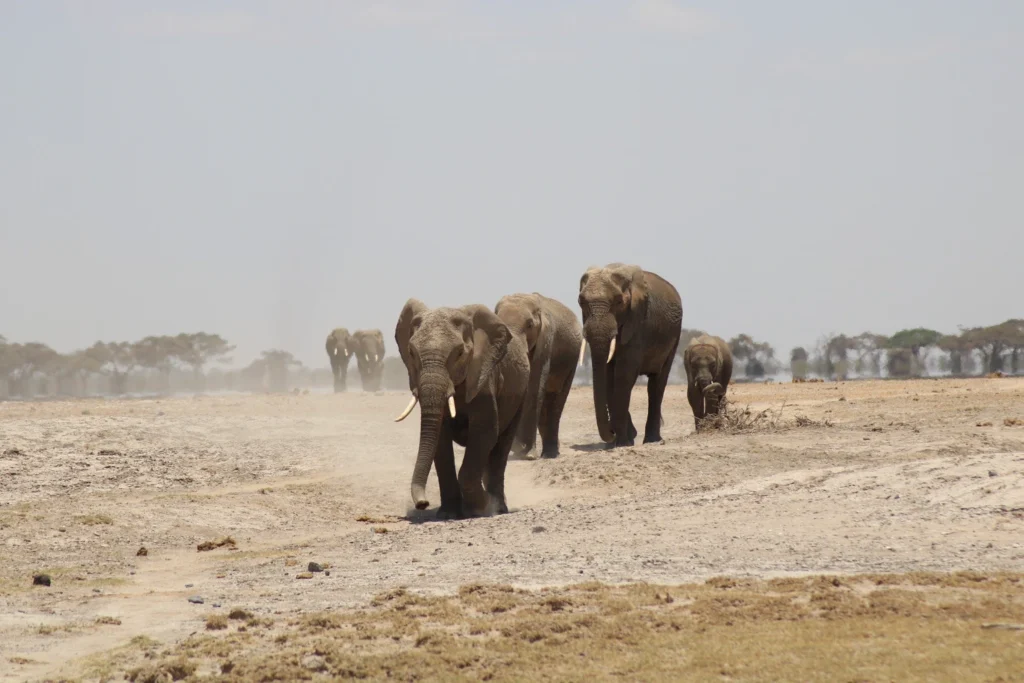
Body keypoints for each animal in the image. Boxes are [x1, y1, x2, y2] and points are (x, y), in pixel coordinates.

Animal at [394, 299, 530, 519]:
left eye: (459, 353)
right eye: (412, 353)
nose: (422, 503)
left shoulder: (484, 376)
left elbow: (484, 432)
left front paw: (481, 508)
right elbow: (440, 440)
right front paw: (448, 515)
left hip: (521, 393)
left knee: (501, 446)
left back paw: (498, 507)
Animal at [495, 293, 583, 459]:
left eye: (530, 325)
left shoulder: (546, 341)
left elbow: (534, 386)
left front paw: (527, 454)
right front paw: (518, 448)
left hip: (572, 361)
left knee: (556, 401)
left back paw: (550, 454)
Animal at [578, 263, 683, 448]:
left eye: (619, 302)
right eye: (581, 302)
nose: (610, 432)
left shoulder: (637, 322)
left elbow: (624, 373)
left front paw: (622, 443)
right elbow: (608, 376)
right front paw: (623, 439)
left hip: (675, 336)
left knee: (656, 385)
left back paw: (652, 440)